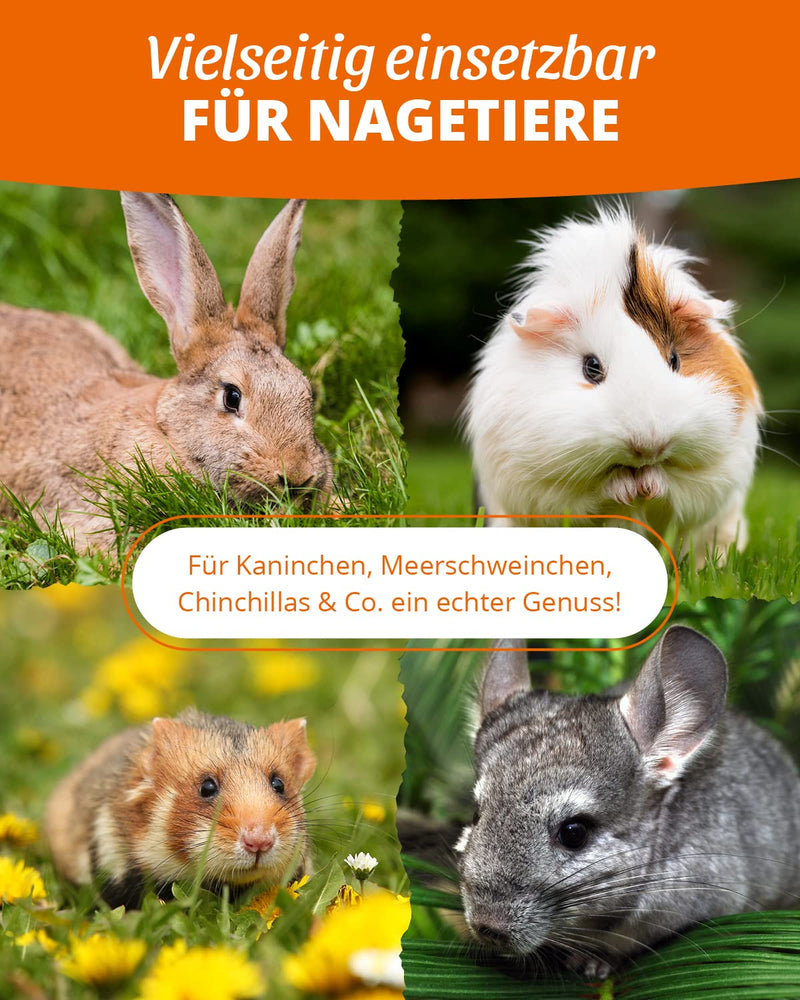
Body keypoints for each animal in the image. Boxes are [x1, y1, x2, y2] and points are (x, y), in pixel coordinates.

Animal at [463, 207, 762, 561]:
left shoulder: (718, 476)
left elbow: (679, 485)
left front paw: (648, 484)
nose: (649, 444)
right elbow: (588, 494)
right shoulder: (538, 489)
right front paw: (628, 487)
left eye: (674, 360)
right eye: (592, 367)